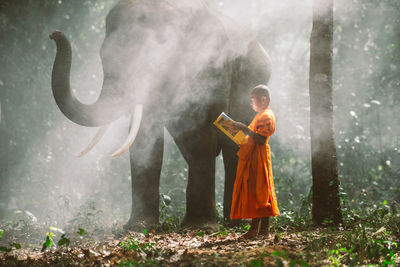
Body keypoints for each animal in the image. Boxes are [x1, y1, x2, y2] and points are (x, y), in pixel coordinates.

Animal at [48, 0, 270, 230]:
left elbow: (203, 134)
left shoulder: (211, 68)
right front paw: (138, 227)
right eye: (103, 56)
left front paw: (199, 227)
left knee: (233, 147)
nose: (54, 34)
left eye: (154, 59)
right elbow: (145, 141)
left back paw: (235, 222)